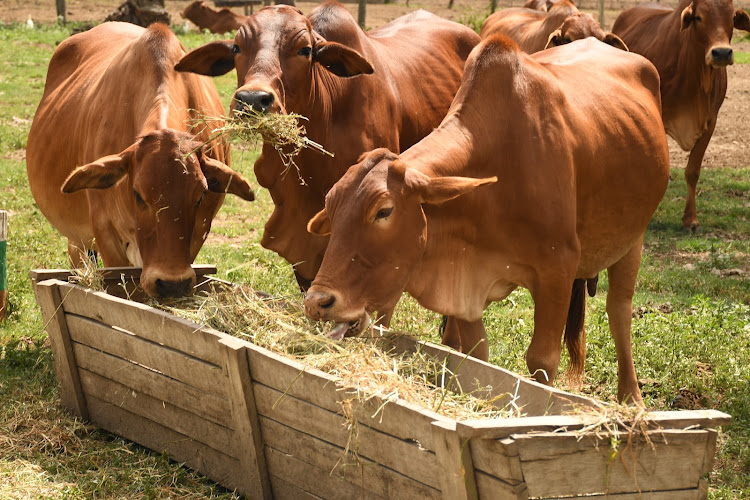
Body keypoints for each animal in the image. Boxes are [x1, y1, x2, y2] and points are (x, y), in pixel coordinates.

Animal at [26, 22, 256, 296]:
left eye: (200, 195)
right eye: (137, 194)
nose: (171, 284)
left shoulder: (199, 230)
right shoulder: (105, 232)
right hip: (79, 235)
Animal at [616, 0, 750, 229]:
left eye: (732, 17)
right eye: (699, 17)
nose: (722, 53)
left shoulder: (711, 121)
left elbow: (692, 171)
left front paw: (691, 219)